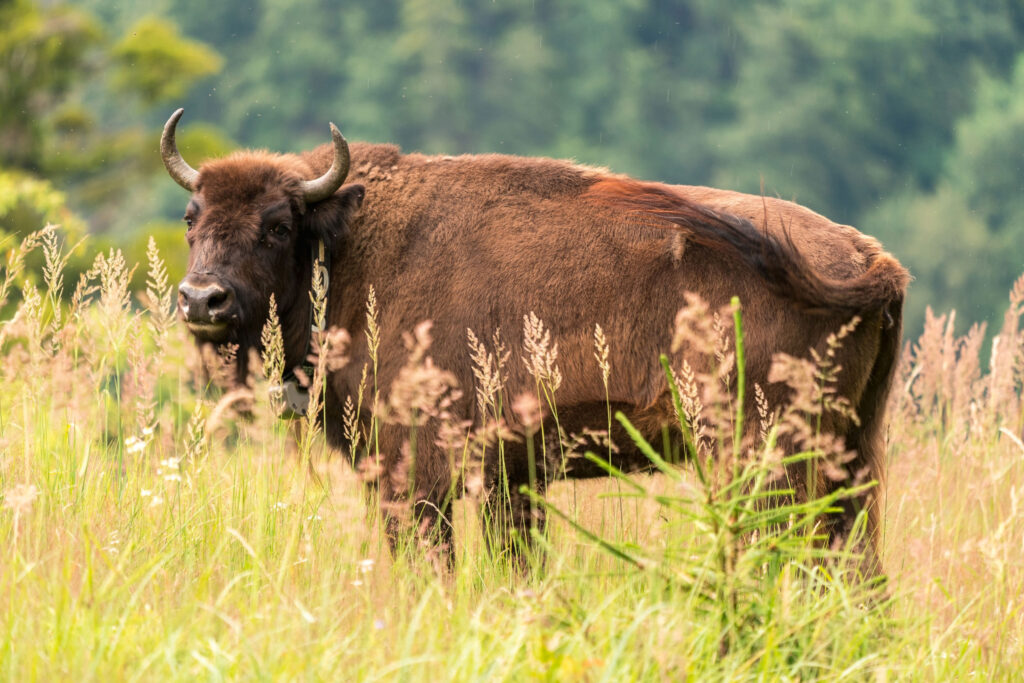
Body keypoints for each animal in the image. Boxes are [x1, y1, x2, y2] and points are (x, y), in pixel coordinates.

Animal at [162, 109, 908, 572]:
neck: (349, 245)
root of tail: (869, 258)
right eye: (191, 216)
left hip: (757, 454)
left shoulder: (415, 468)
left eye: (278, 226)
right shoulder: (512, 477)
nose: (202, 299)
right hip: (850, 456)